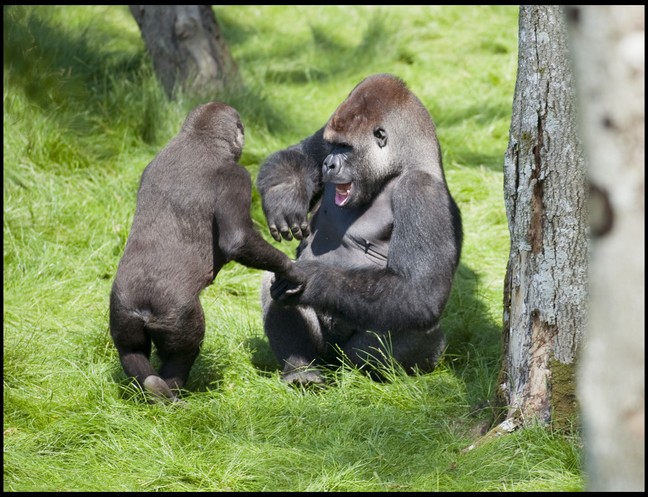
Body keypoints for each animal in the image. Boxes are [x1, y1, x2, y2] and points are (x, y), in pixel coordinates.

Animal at [110, 102, 306, 402]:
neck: (197, 138)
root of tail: (143, 308)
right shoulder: (238, 176)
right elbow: (238, 239)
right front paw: (291, 270)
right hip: (178, 316)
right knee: (183, 352)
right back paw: (171, 394)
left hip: (122, 309)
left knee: (130, 351)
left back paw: (153, 389)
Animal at [256, 72, 464, 384]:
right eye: (333, 146)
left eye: (346, 148)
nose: (328, 164)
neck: (401, 165)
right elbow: (297, 153)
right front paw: (285, 193)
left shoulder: (422, 191)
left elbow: (419, 292)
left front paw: (312, 279)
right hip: (325, 355)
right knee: (271, 280)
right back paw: (301, 369)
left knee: (416, 326)